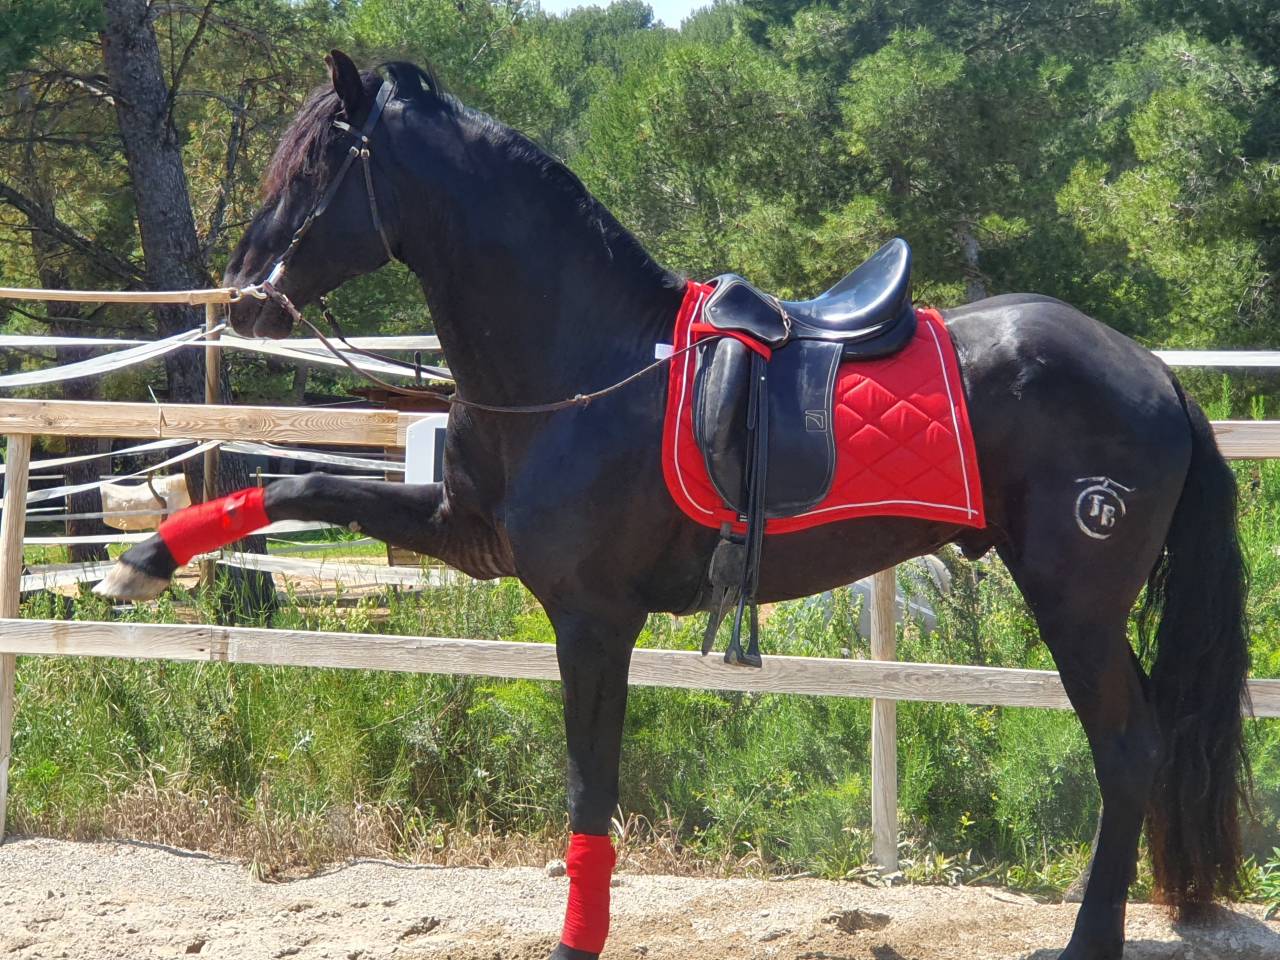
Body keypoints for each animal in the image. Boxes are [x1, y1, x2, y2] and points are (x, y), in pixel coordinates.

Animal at [98, 51, 1250, 960]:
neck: (589, 361)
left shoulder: (590, 618)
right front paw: (145, 559)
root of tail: (1153, 373)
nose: (243, 293)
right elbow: (292, 483)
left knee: (1127, 750)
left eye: (317, 164)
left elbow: (588, 790)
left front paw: (577, 943)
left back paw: (1087, 941)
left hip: (1074, 599)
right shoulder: (467, 536)